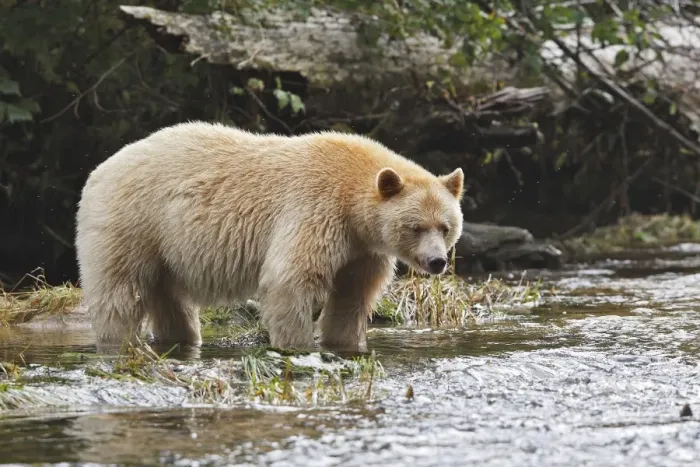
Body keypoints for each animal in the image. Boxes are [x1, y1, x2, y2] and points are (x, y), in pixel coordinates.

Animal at [75, 121, 464, 351]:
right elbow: (291, 279)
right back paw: (118, 340)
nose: (437, 261)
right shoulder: (316, 209)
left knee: (168, 297)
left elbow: (353, 294)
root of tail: (99, 171)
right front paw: (298, 347)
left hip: (163, 247)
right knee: (120, 291)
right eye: (415, 226)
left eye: (445, 226)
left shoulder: (362, 248)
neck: (353, 201)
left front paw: (345, 344)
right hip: (132, 222)